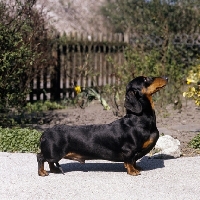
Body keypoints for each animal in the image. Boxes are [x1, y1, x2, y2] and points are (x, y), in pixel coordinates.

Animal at [37, 76, 167, 176]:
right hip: (54, 153)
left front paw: (137, 167)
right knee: (41, 157)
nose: (166, 77)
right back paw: (42, 172)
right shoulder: (129, 150)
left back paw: (54, 170)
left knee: (49, 161)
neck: (138, 119)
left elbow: (134, 161)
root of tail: (45, 133)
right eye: (145, 79)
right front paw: (132, 171)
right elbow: (130, 161)